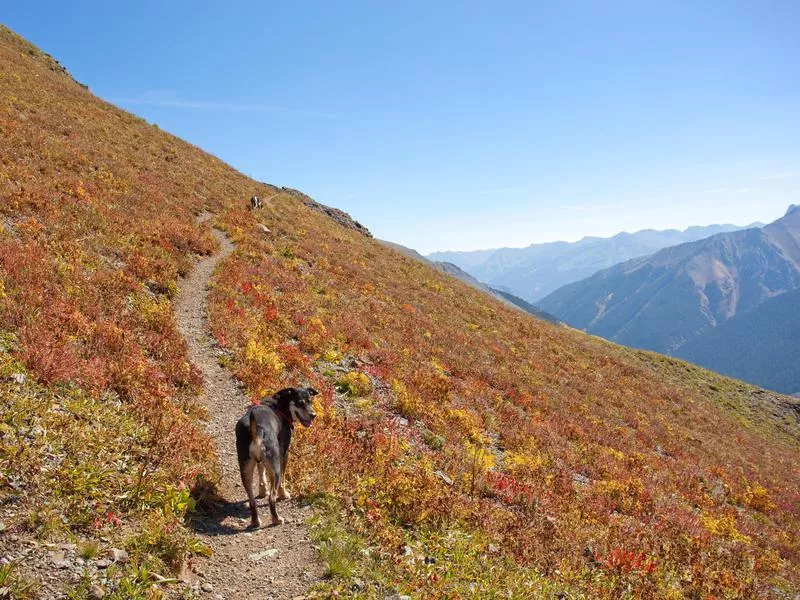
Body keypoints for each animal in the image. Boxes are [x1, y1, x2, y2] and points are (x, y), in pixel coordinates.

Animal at [233, 386, 318, 528]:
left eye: (310, 401)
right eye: (299, 403)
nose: (313, 415)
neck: (279, 405)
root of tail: (257, 431)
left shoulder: (260, 460)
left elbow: (261, 473)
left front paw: (263, 491)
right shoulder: (284, 453)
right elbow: (283, 480)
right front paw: (284, 494)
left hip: (245, 469)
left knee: (252, 500)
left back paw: (255, 521)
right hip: (275, 465)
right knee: (272, 498)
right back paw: (277, 519)